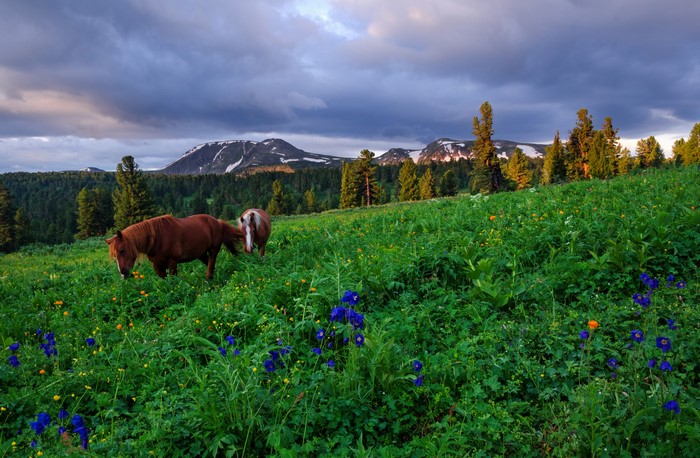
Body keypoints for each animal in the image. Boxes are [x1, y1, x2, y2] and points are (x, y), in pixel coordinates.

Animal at [105, 214, 244, 280]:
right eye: (114, 255)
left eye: (122, 250)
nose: (123, 273)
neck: (157, 238)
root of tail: (217, 222)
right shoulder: (157, 266)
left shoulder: (172, 262)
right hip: (201, 254)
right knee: (210, 263)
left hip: (213, 249)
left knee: (211, 263)